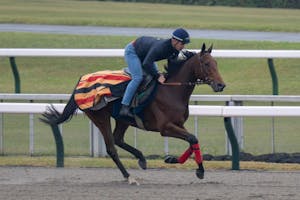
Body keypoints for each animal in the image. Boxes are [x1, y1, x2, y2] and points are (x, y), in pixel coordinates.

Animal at [41, 43, 225, 184]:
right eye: (206, 64)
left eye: (216, 63)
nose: (221, 85)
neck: (171, 90)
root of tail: (80, 82)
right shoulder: (165, 127)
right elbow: (193, 139)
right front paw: (200, 171)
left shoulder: (178, 124)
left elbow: (192, 141)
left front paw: (172, 159)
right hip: (100, 117)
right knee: (111, 148)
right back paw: (129, 177)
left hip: (123, 119)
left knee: (118, 139)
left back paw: (142, 158)